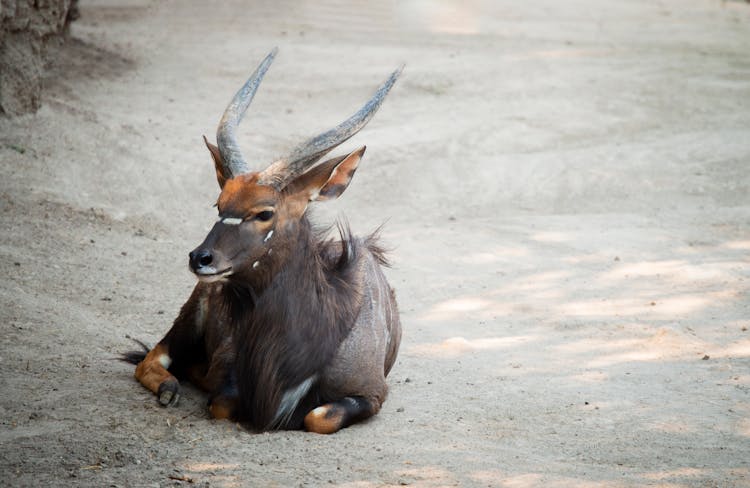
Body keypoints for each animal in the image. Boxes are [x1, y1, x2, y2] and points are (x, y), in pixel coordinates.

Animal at [125, 47, 406, 432]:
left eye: (264, 213)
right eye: (219, 204)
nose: (201, 258)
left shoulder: (372, 393)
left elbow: (318, 416)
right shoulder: (229, 372)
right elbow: (222, 403)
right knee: (152, 358)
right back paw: (171, 388)